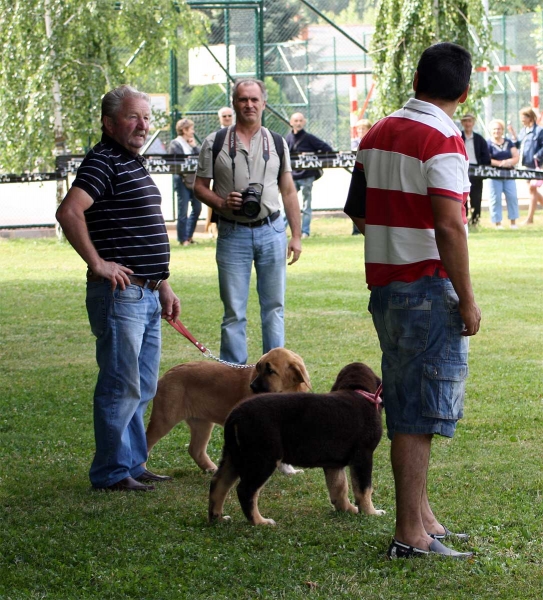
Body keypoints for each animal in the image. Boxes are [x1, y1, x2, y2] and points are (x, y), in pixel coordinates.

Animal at [146, 346, 310, 474]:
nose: (252, 386)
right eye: (259, 368)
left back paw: (211, 469)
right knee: (147, 442)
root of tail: (167, 374)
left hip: (202, 423)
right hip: (164, 419)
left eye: (270, 371)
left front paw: (289, 471)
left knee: (195, 449)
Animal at [209, 360, 386, 524]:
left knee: (218, 482)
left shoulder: (333, 463)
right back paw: (260, 522)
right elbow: (364, 489)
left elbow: (339, 487)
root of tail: (235, 415)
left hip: (234, 454)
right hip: (263, 458)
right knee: (246, 490)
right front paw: (371, 512)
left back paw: (217, 518)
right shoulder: (363, 455)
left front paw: (347, 509)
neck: (356, 389)